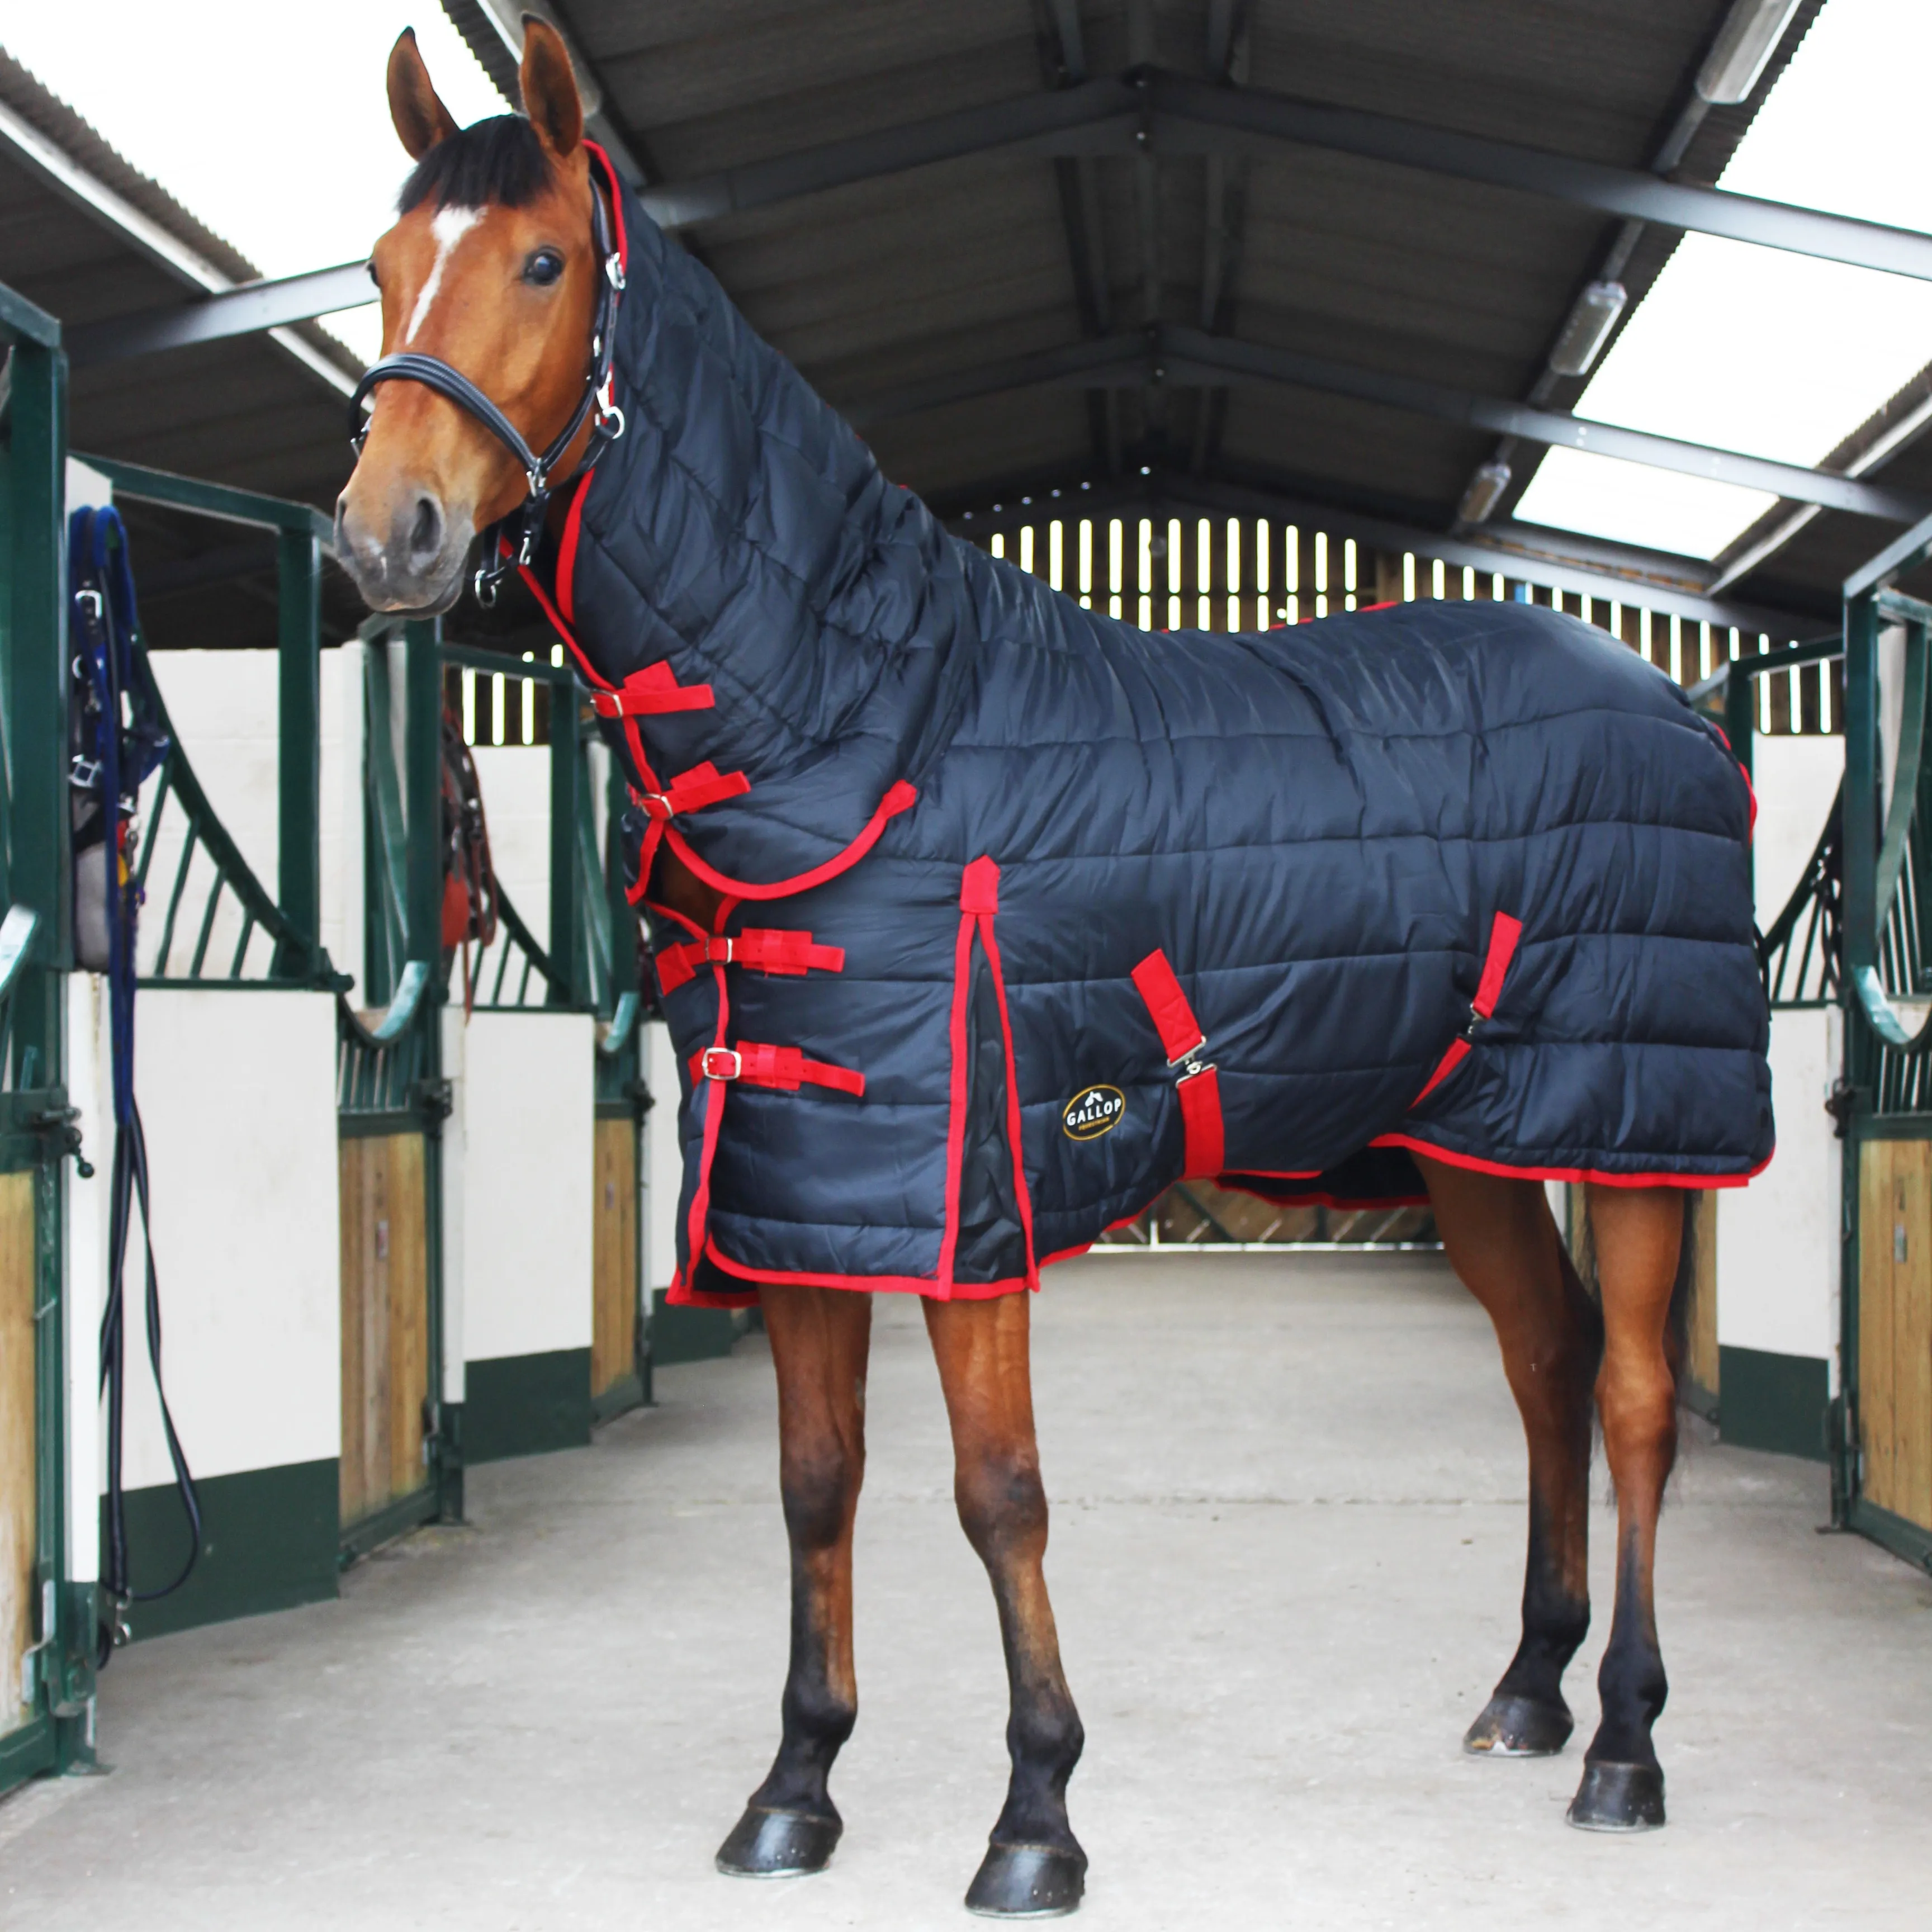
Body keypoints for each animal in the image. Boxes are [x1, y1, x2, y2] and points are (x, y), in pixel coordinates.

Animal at [334, 22, 1769, 1916]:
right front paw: (795, 1788)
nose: (386, 536)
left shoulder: (974, 1198)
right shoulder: (809, 1189)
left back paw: (1624, 1747)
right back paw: (1529, 1692)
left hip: (1636, 1132)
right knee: (1545, 1366)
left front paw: (1036, 1815)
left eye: (545, 263)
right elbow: (818, 1484)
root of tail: (1677, 703)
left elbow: (996, 1492)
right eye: (378, 267)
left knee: (1633, 1399)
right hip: (1471, 1146)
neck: (862, 725)